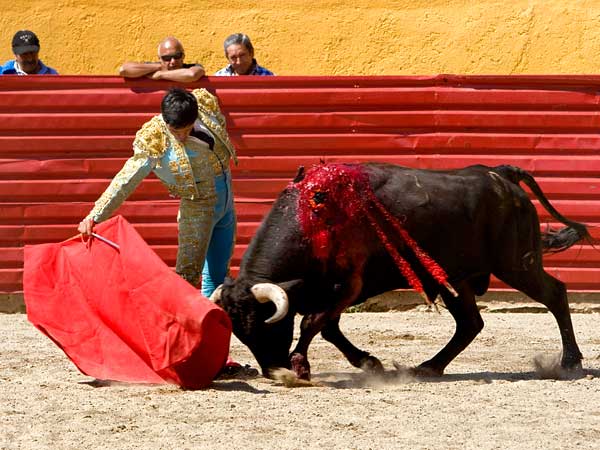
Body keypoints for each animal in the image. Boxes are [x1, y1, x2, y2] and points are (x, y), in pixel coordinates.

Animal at [212, 162, 592, 380]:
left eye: (264, 325)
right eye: (241, 333)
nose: (272, 372)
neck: (312, 217)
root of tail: (501, 174)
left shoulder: (348, 285)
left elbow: (312, 324)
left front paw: (301, 366)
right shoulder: (329, 292)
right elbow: (329, 328)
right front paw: (368, 363)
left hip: (517, 263)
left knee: (555, 294)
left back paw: (570, 362)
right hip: (457, 279)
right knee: (470, 323)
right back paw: (429, 367)